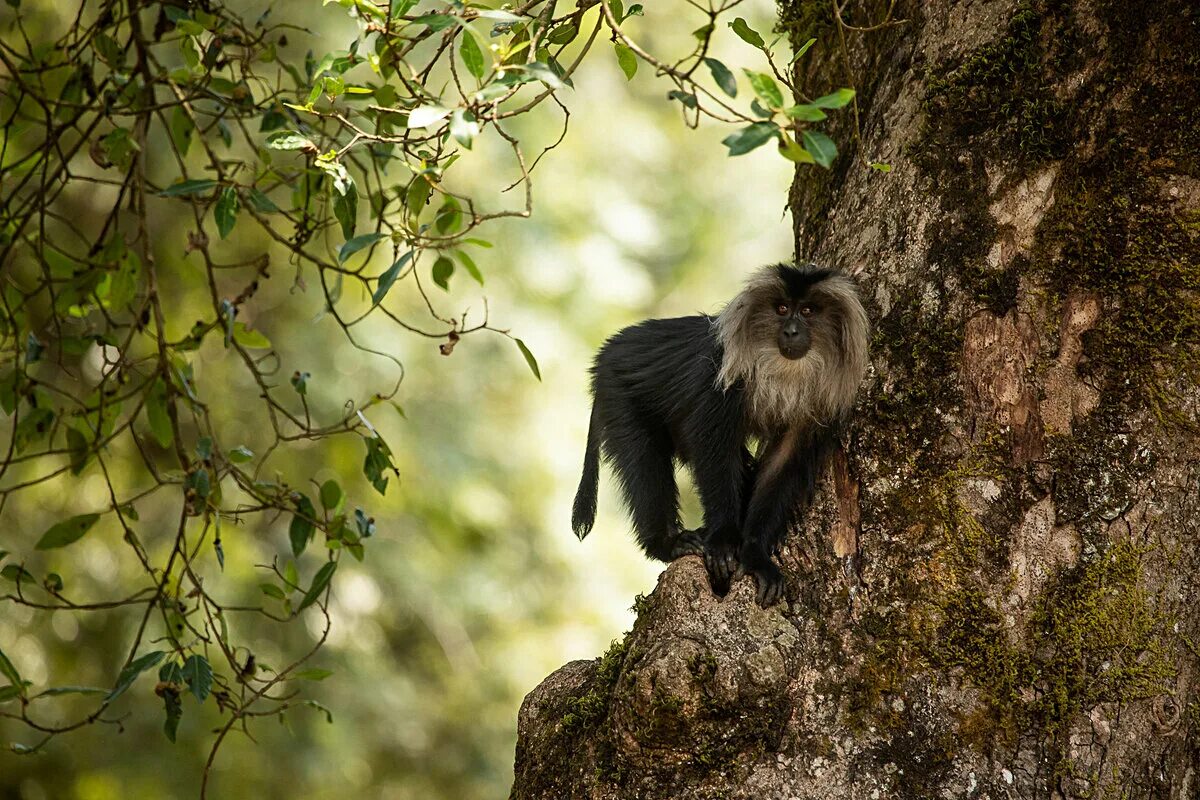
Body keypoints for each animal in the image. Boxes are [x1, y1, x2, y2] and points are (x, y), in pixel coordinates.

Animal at [566, 262, 868, 606]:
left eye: (807, 310)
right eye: (781, 309)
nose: (791, 331)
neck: (782, 371)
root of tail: (605, 354)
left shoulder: (812, 412)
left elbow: (783, 463)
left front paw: (754, 552)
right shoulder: (720, 377)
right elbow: (713, 450)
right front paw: (723, 542)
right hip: (620, 396)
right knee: (645, 462)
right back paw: (667, 543)